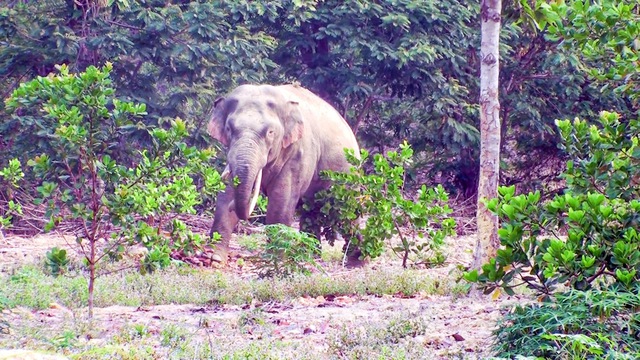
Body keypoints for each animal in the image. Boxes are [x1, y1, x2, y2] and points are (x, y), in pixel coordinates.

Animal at [209, 84, 362, 264]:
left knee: (349, 214)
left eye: (270, 132)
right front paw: (215, 258)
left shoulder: (298, 153)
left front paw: (275, 261)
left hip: (348, 175)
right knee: (311, 212)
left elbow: (280, 203)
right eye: (228, 129)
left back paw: (356, 262)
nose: (237, 206)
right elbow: (224, 197)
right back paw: (309, 256)